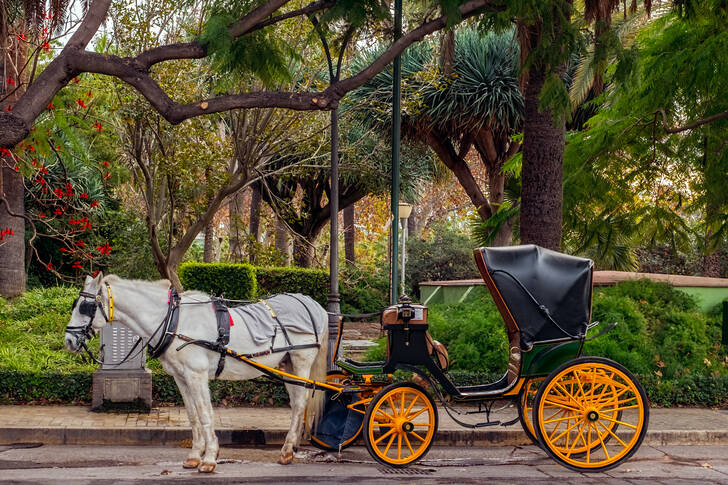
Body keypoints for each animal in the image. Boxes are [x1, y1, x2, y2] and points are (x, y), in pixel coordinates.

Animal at [65, 272, 328, 472]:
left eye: (85, 307)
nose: (68, 340)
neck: (174, 321)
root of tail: (314, 306)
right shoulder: (181, 377)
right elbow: (192, 415)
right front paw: (194, 456)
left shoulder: (196, 375)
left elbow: (205, 413)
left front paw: (209, 458)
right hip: (287, 366)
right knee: (296, 403)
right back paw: (289, 449)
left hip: (301, 361)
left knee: (300, 403)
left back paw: (288, 449)